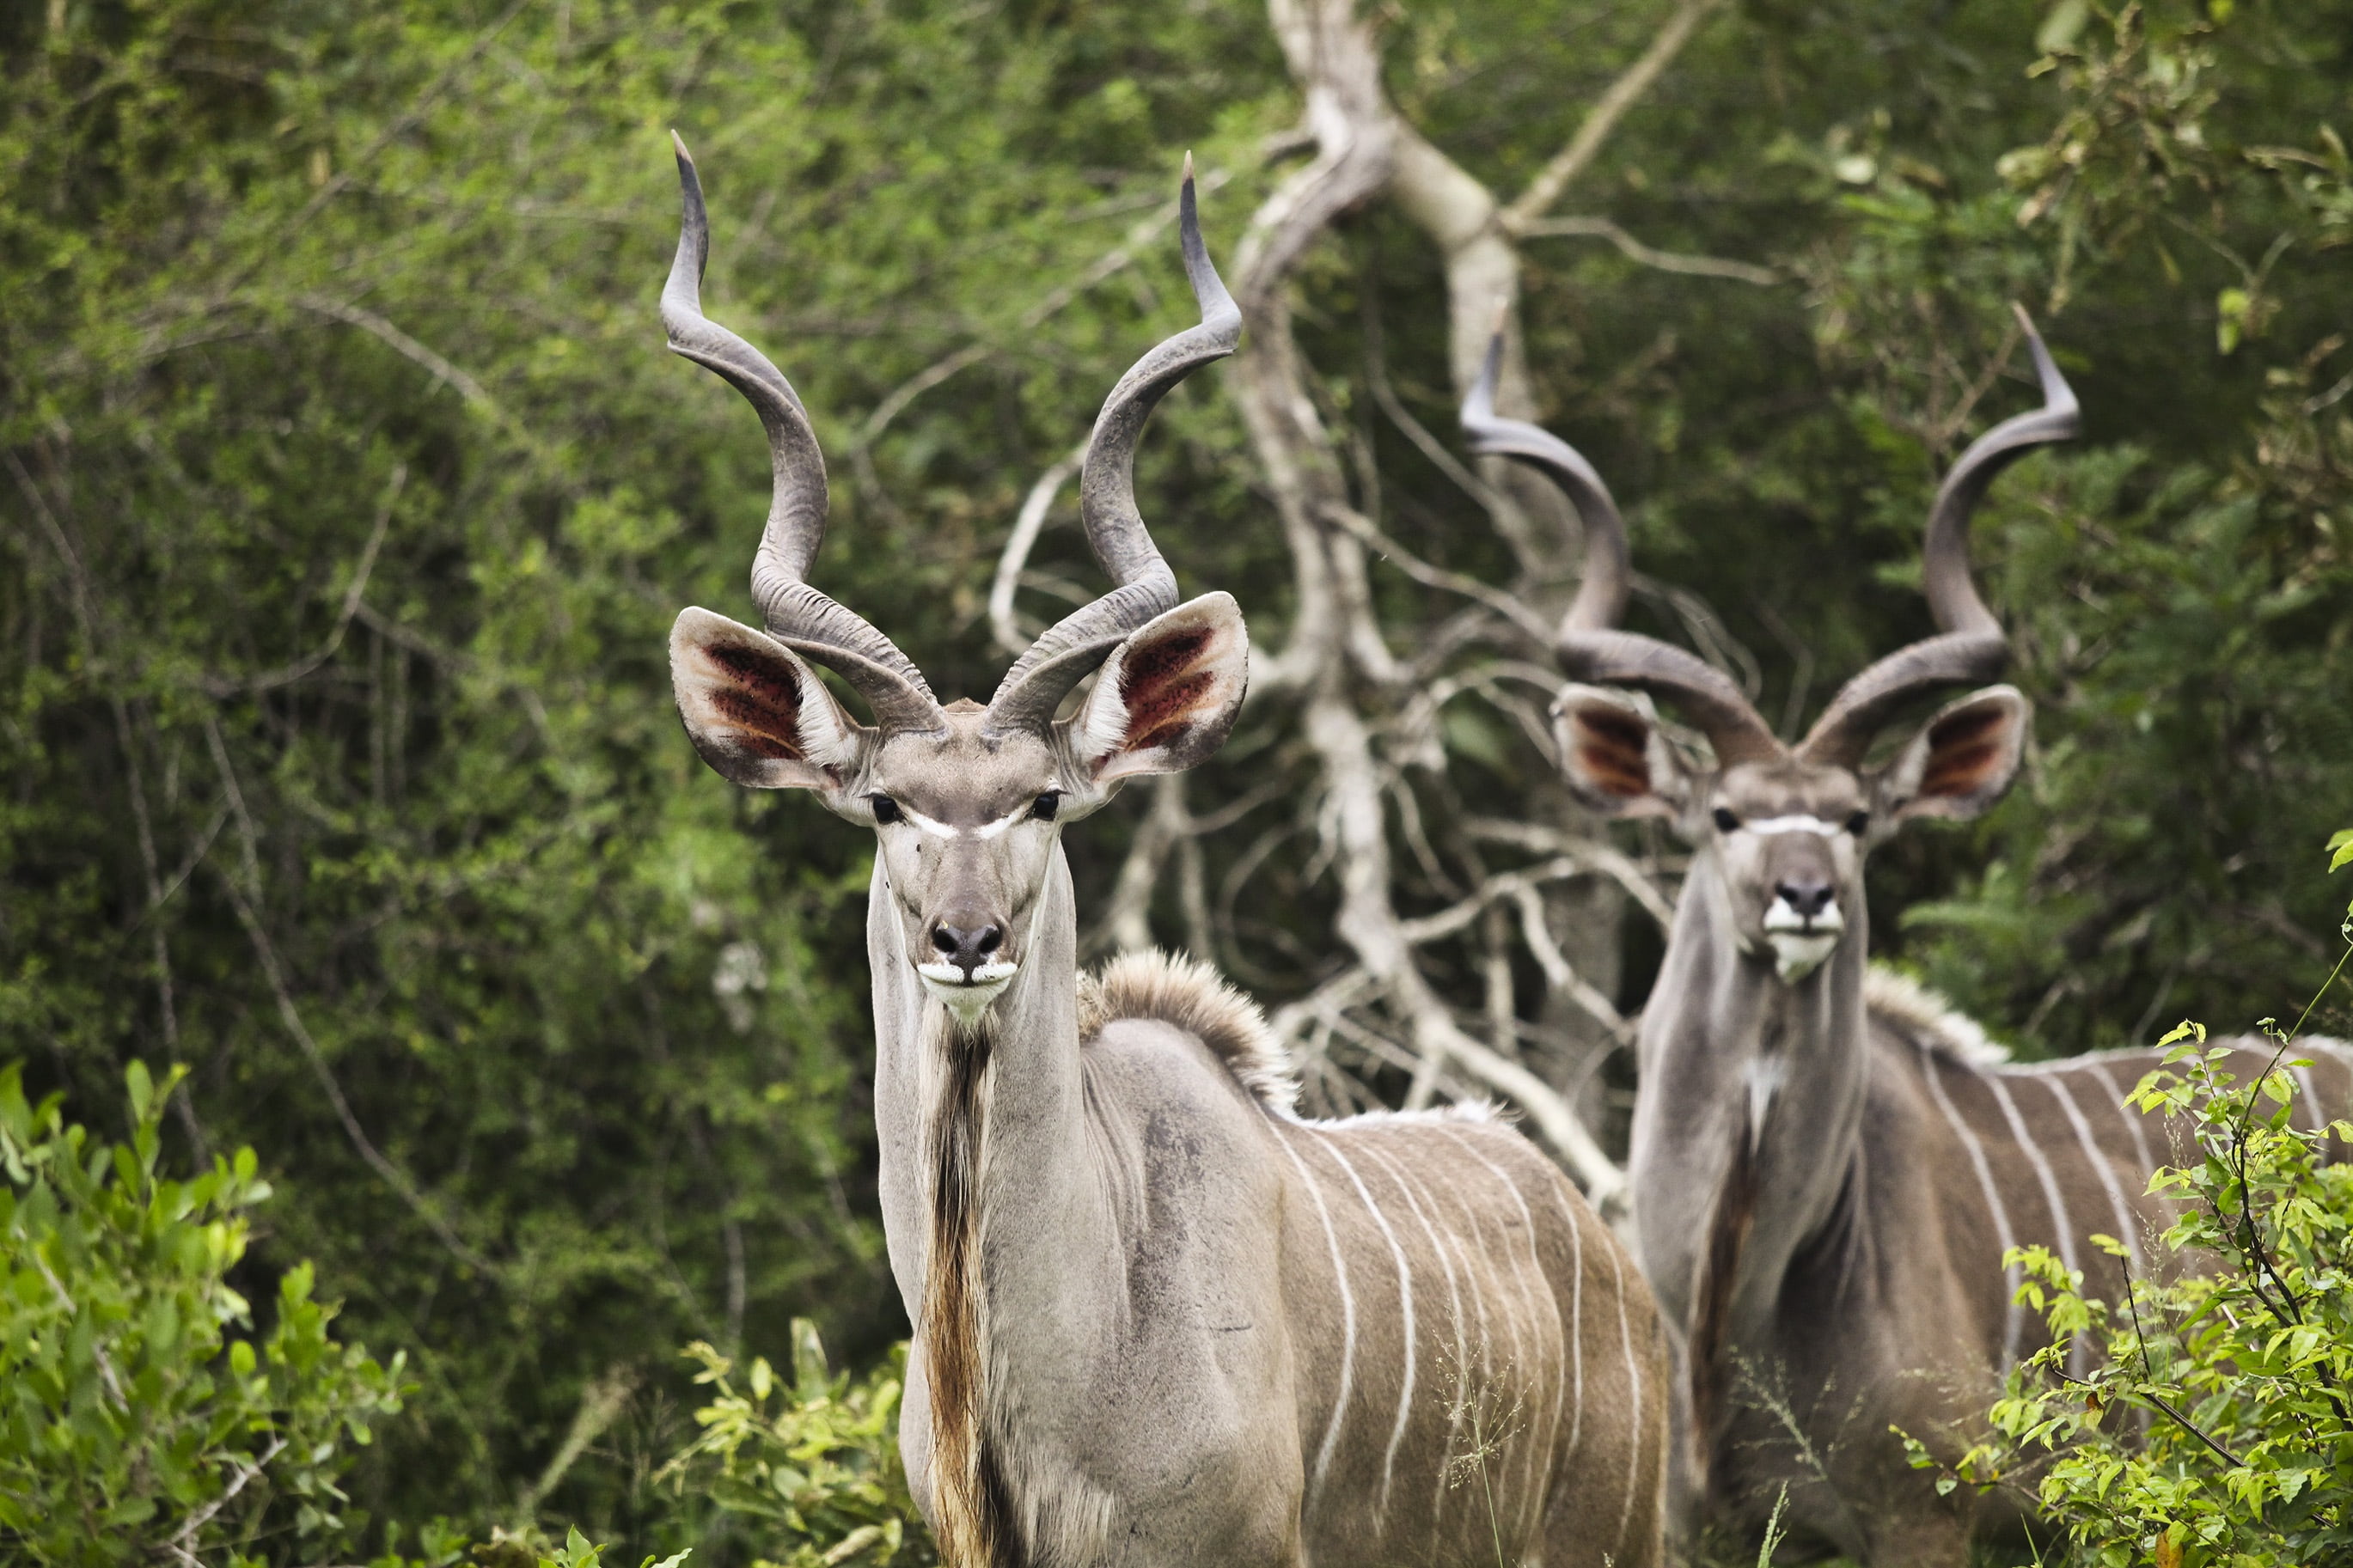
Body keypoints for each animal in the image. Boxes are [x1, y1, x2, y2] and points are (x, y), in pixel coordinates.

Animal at [1459, 317, 2352, 1567]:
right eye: (1722, 814)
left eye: (1854, 818)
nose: (1802, 896)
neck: (1736, 1294)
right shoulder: (1699, 1529)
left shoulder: (1924, 1515)